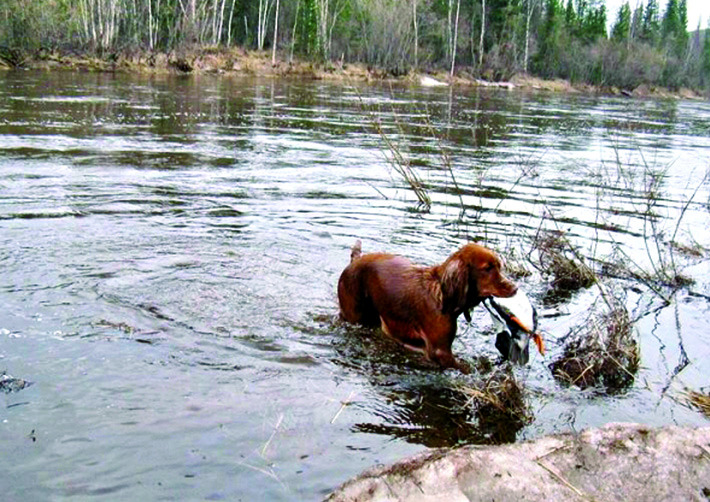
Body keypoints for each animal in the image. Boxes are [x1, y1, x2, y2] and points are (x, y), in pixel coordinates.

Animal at [340, 239, 516, 372]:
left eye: (499, 266)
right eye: (488, 268)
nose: (515, 288)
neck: (443, 297)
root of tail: (355, 261)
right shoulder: (440, 351)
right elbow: (465, 368)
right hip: (355, 315)